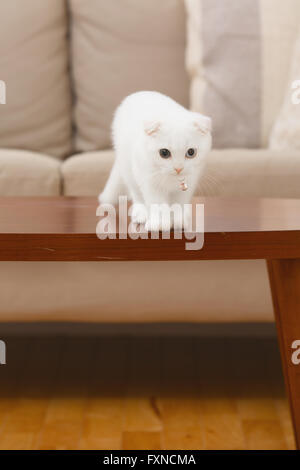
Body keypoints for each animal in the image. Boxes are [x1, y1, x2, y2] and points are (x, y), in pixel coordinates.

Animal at [98, 91, 211, 230]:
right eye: (164, 153)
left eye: (191, 152)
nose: (178, 168)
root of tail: (140, 93)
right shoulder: (150, 181)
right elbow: (157, 204)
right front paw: (159, 224)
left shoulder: (189, 182)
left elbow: (179, 203)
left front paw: (179, 221)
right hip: (129, 170)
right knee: (137, 195)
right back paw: (140, 214)